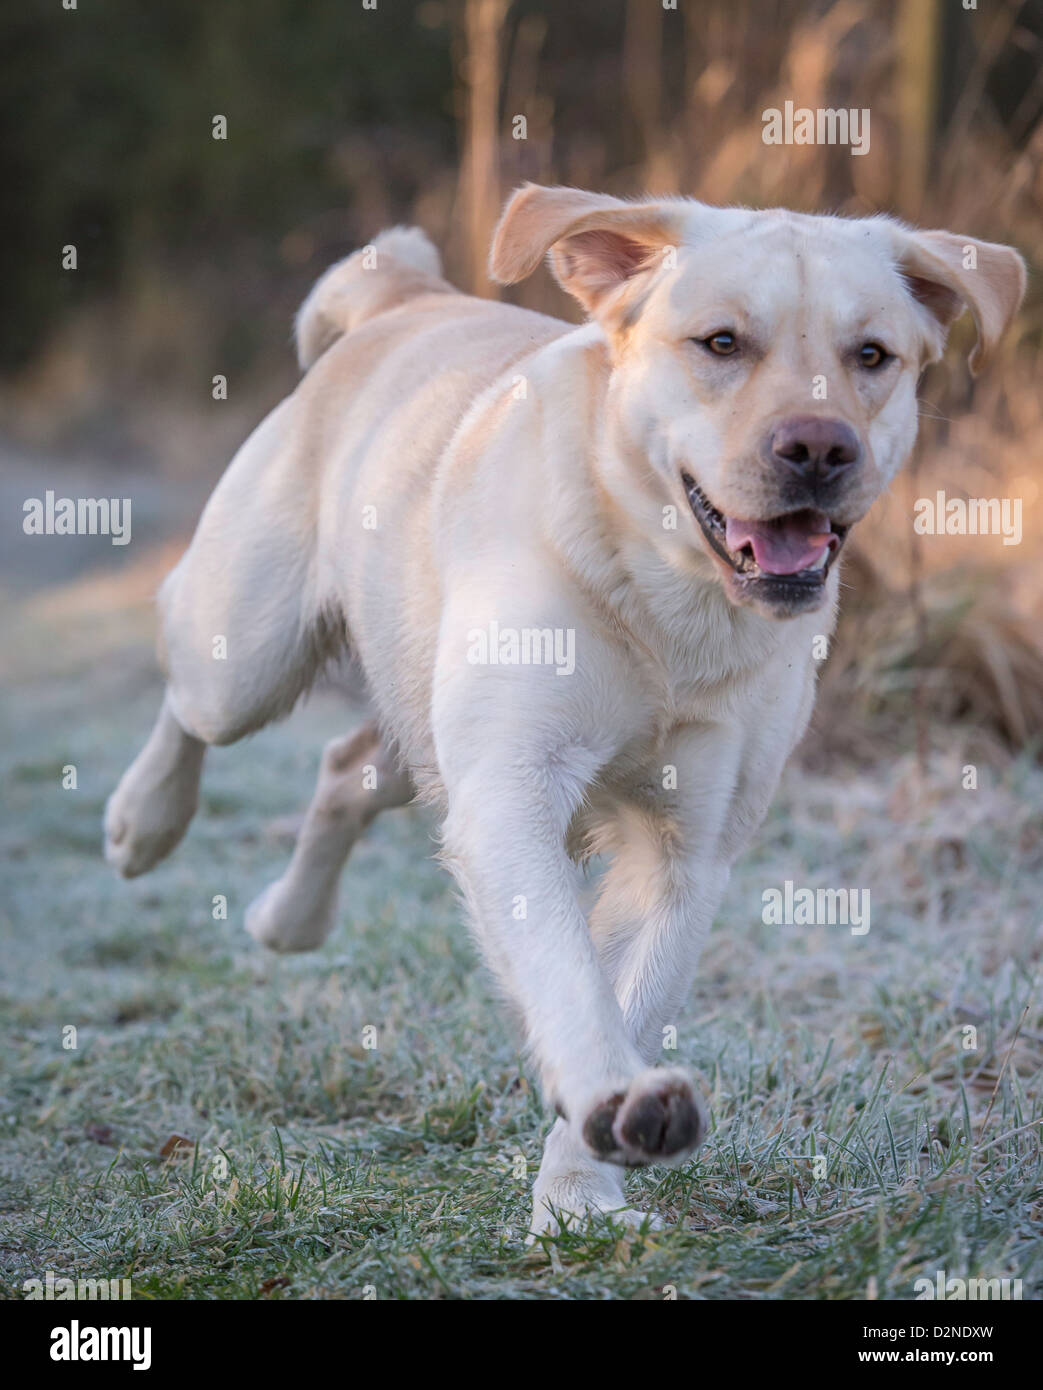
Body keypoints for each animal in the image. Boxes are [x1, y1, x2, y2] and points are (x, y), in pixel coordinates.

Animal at [108, 187, 1029, 1239]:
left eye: (871, 355)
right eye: (720, 342)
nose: (818, 446)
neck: (668, 601)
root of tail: (407, 295)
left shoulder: (685, 851)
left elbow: (627, 994)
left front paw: (580, 1194)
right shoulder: (509, 793)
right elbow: (566, 973)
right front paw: (611, 1104)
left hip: (418, 714)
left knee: (348, 765)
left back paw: (288, 918)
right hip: (249, 650)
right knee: (191, 688)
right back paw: (144, 821)